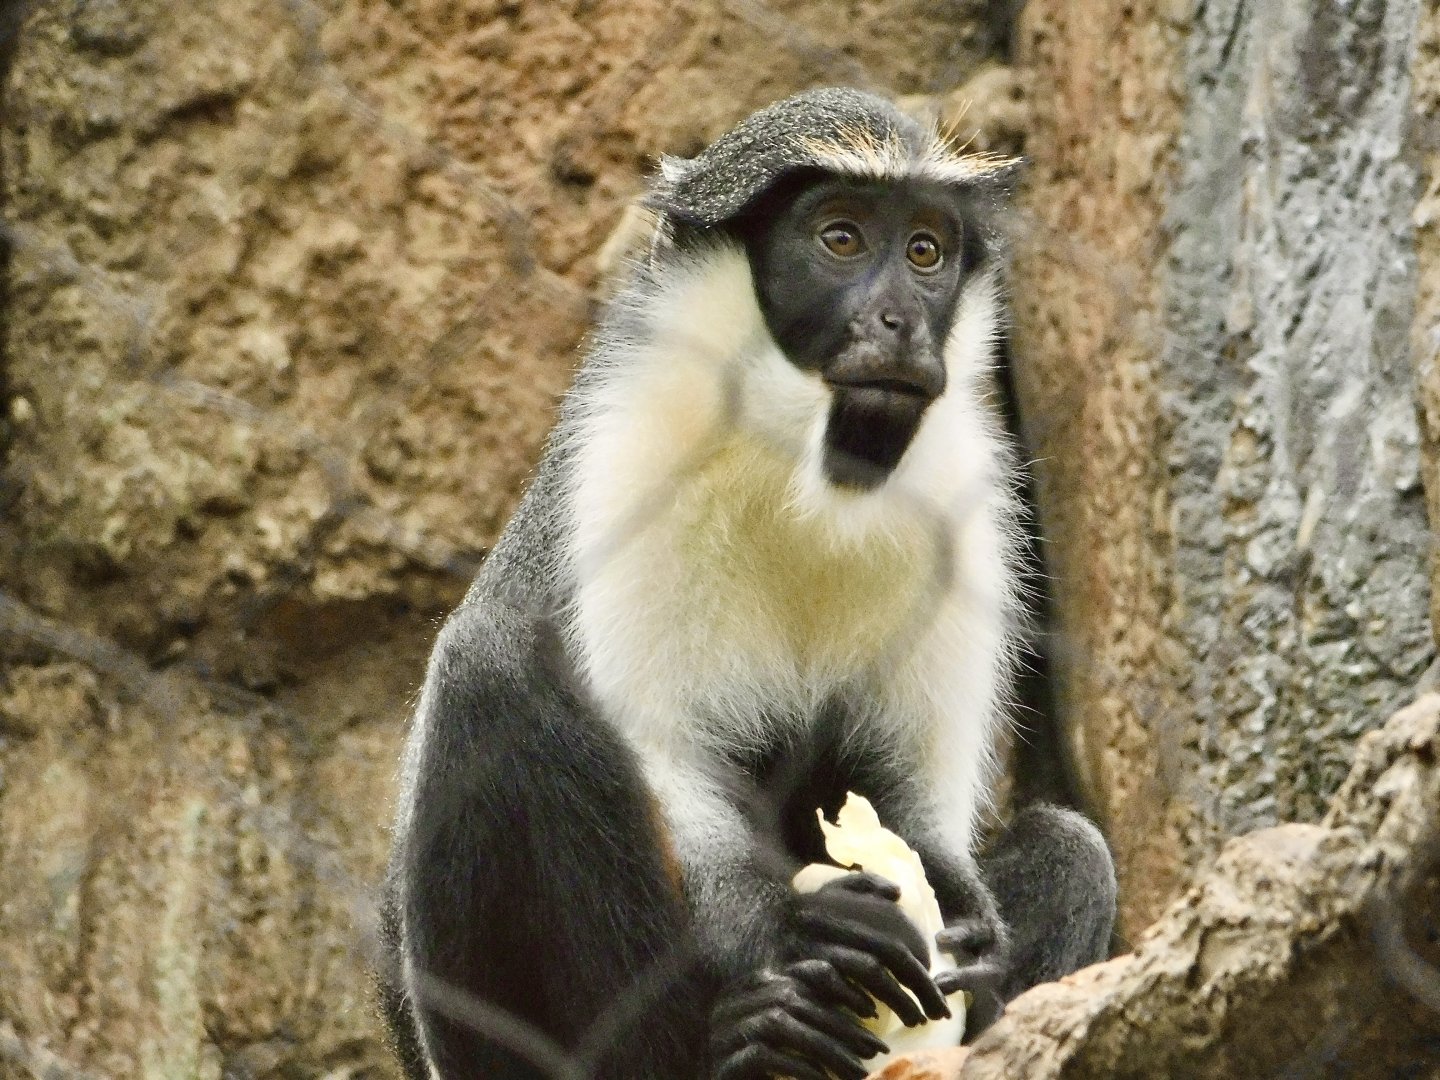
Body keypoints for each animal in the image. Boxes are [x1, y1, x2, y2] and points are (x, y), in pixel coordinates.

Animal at [379, 87, 1117, 1080]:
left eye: (925, 251)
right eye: (841, 237)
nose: (903, 322)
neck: (803, 465)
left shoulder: (959, 502)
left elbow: (911, 793)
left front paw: (962, 912)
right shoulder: (632, 453)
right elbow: (676, 764)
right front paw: (794, 929)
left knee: (1077, 850)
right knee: (486, 669)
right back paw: (755, 1036)